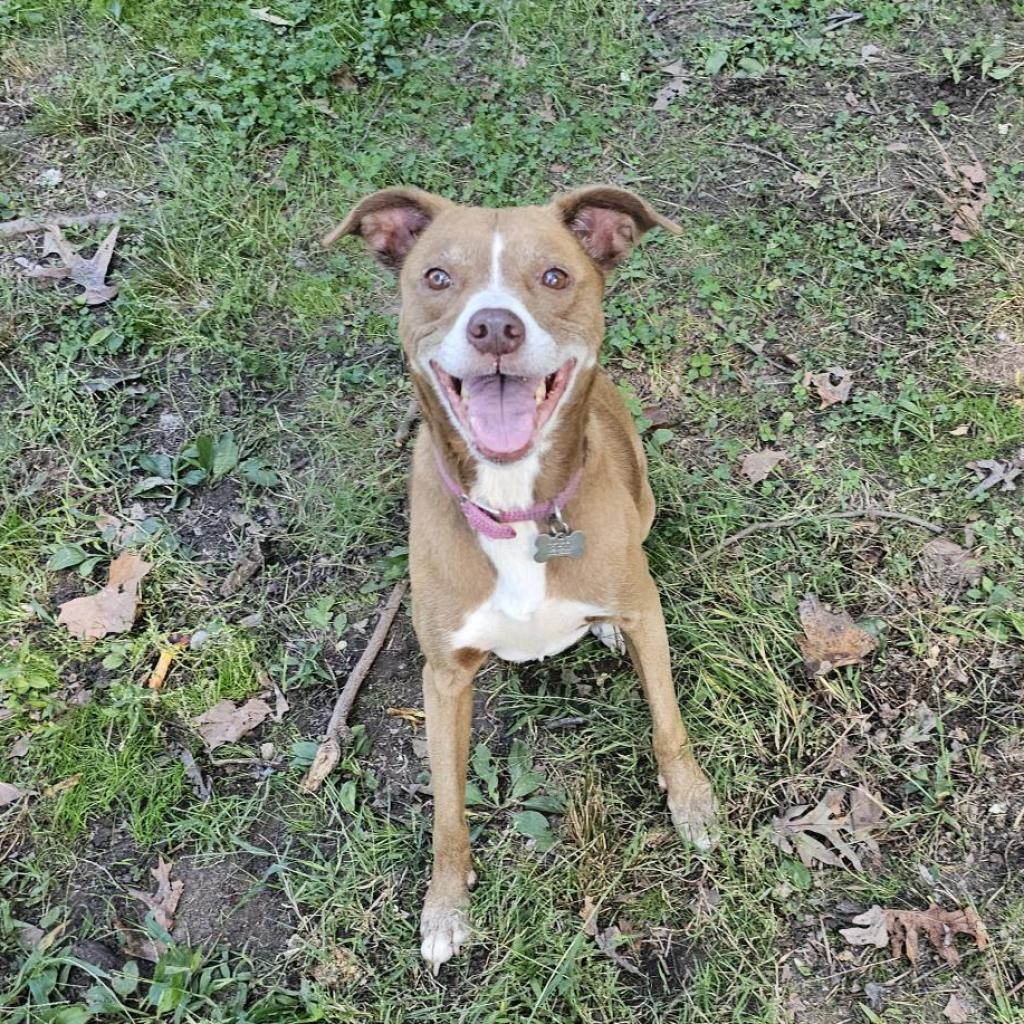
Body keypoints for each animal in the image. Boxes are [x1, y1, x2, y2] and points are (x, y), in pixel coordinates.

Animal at [329, 186, 720, 974]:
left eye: (554, 276)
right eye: (437, 277)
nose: (494, 327)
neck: (514, 506)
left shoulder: (645, 610)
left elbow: (668, 720)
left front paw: (692, 803)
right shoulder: (444, 676)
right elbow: (447, 810)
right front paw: (445, 907)